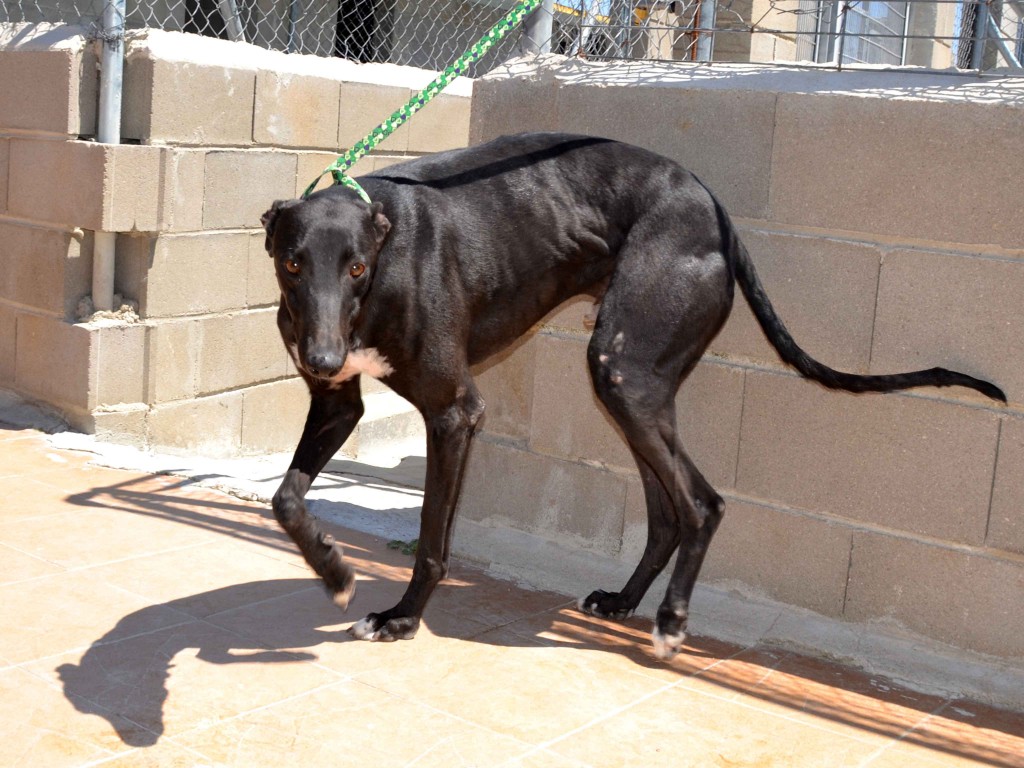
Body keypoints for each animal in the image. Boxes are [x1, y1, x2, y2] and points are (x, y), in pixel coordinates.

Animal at [260, 131, 1003, 655]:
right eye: (293, 262)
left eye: (357, 267)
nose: (323, 357)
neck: (381, 237)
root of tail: (715, 210)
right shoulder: (339, 403)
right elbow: (285, 496)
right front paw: (333, 570)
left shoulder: (454, 412)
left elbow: (432, 538)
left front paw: (402, 619)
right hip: (636, 384)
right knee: (669, 511)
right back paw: (623, 601)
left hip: (622, 370)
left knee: (702, 505)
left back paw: (672, 620)